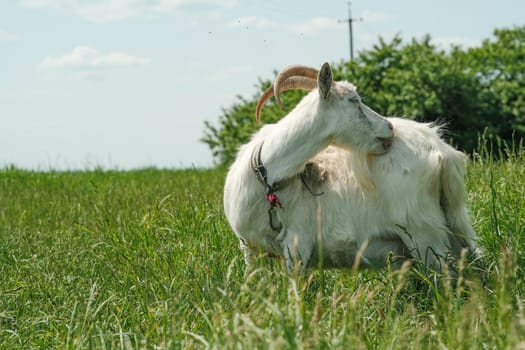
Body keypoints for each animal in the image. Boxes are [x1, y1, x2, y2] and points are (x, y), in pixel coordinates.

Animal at [221, 63, 474, 270]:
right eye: (354, 100)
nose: (390, 127)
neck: (267, 175)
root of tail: (441, 151)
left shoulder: (297, 243)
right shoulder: (249, 249)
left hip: (423, 232)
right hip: (451, 225)